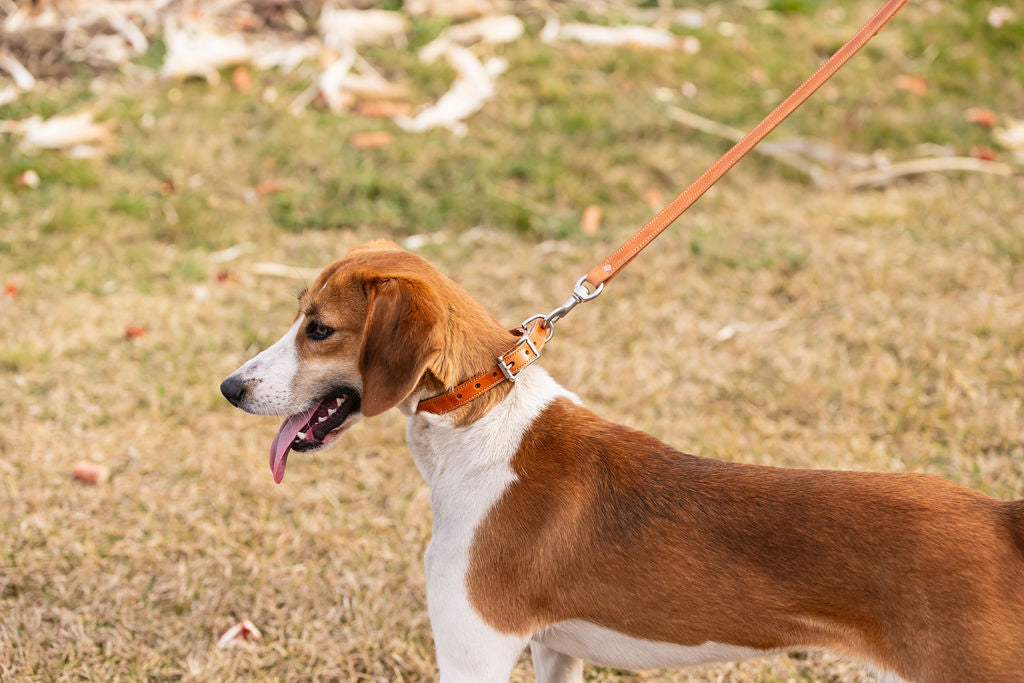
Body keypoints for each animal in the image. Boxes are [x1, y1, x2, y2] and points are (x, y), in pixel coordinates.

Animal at [220, 241, 1024, 683]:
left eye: (320, 329)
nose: (230, 387)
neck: (482, 425)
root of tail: (1001, 520)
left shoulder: (474, 651)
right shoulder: (552, 653)